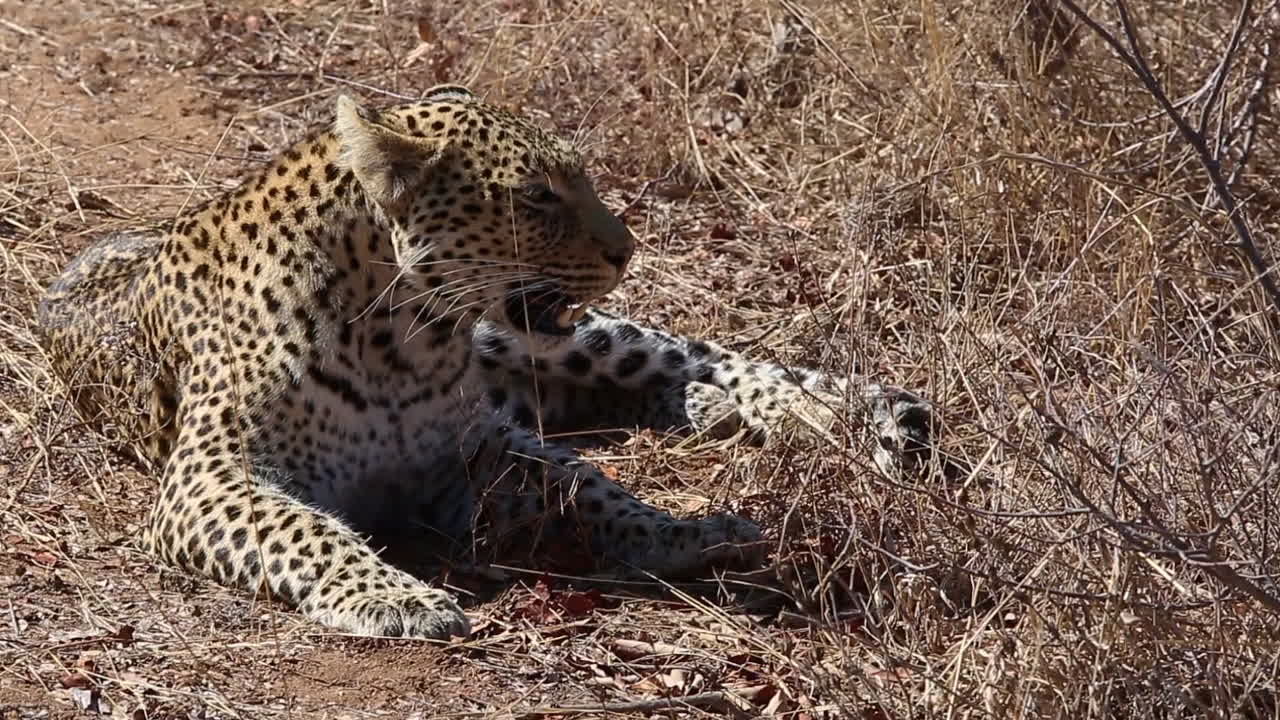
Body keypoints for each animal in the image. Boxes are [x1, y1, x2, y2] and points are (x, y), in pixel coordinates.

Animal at [36, 85, 935, 639]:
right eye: (536, 196)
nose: (627, 249)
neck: (402, 339)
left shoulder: (478, 452)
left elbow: (588, 487)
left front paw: (690, 530)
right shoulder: (210, 478)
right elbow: (304, 528)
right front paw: (396, 597)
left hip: (572, 338)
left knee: (699, 359)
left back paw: (828, 415)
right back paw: (728, 416)